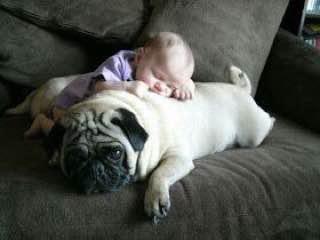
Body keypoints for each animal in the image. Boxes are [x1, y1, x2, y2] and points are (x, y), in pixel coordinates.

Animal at [5, 65, 276, 223]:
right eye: (76, 158)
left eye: (115, 153)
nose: (96, 169)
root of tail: (241, 91)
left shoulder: (177, 158)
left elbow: (159, 174)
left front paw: (155, 199)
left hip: (253, 134)